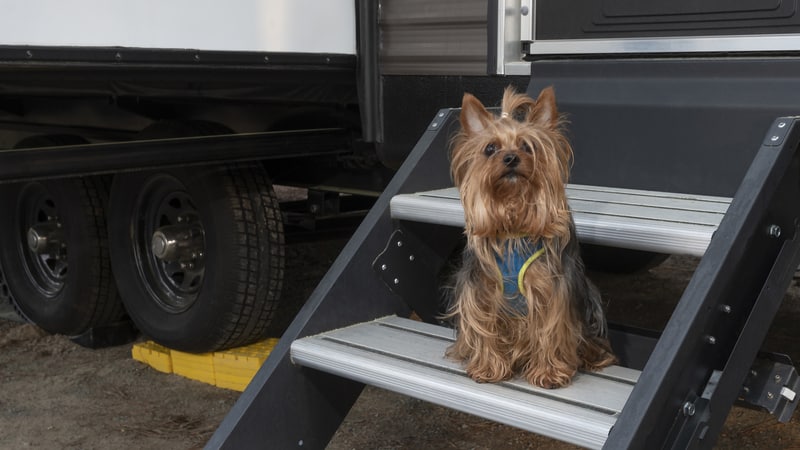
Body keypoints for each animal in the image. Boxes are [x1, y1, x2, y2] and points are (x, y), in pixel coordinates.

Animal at [446, 86, 616, 388]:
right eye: (490, 148)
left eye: (527, 147)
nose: (511, 158)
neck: (513, 222)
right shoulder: (482, 291)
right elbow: (484, 327)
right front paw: (488, 368)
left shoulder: (552, 290)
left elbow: (551, 329)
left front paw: (549, 373)